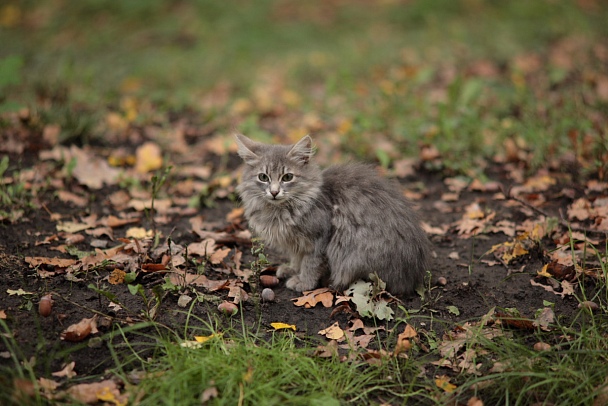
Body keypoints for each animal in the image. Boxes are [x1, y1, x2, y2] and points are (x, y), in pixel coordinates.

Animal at [235, 135, 430, 296]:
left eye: (287, 177)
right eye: (263, 177)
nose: (274, 192)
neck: (280, 210)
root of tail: (414, 275)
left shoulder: (319, 239)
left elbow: (310, 264)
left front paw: (304, 282)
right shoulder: (296, 243)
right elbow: (297, 259)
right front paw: (292, 269)